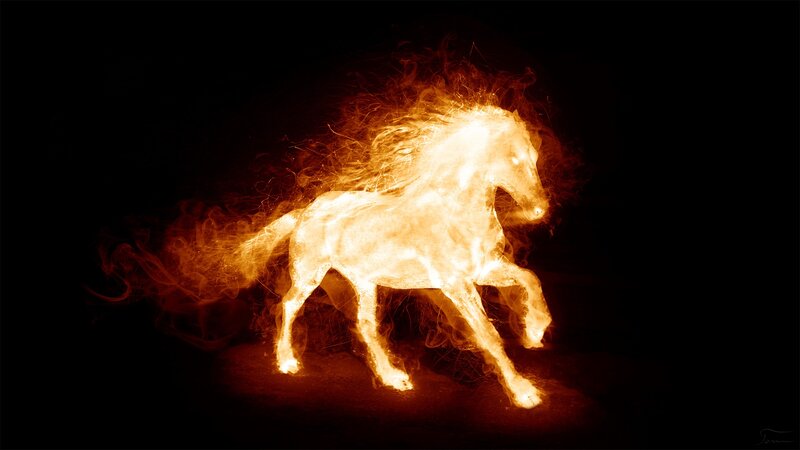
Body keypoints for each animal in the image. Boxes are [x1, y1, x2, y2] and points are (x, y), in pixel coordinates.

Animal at [239, 105, 552, 408]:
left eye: (534, 156)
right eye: (513, 159)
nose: (538, 209)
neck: (455, 212)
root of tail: (306, 211)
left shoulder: (484, 269)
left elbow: (530, 278)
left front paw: (534, 331)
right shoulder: (456, 284)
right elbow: (488, 334)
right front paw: (524, 393)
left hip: (364, 282)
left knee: (365, 324)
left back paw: (394, 378)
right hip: (309, 275)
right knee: (289, 305)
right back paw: (287, 362)